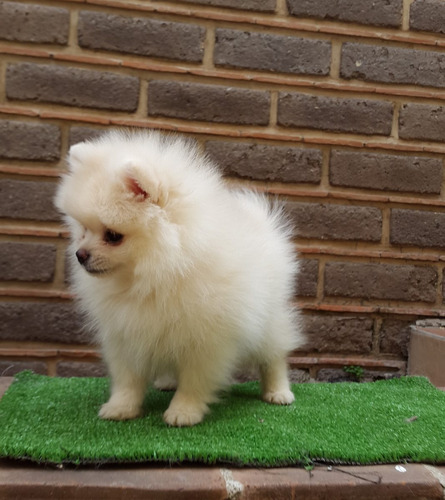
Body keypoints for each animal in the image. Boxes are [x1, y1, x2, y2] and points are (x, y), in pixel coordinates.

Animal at [54, 129, 306, 426]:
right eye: (83, 230)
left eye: (113, 236)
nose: (80, 254)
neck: (157, 273)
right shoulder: (126, 332)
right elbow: (128, 379)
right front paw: (121, 407)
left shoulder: (206, 339)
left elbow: (194, 381)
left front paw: (184, 411)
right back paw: (166, 381)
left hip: (268, 321)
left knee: (274, 356)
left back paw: (278, 392)